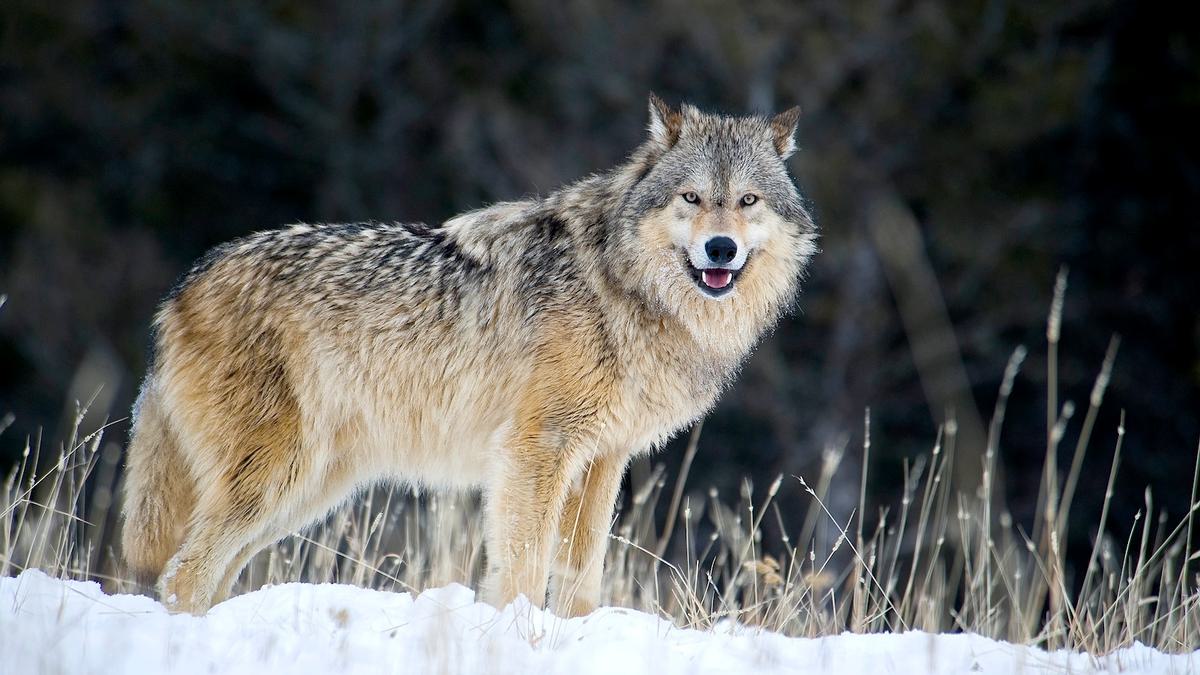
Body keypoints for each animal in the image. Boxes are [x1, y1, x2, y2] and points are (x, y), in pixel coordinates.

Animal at [120, 96, 817, 616]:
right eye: (692, 198)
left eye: (748, 201)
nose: (721, 248)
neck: (622, 287)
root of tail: (181, 288)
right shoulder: (536, 449)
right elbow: (523, 566)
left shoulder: (602, 460)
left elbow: (581, 576)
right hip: (277, 477)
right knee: (183, 574)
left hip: (307, 490)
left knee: (206, 574)